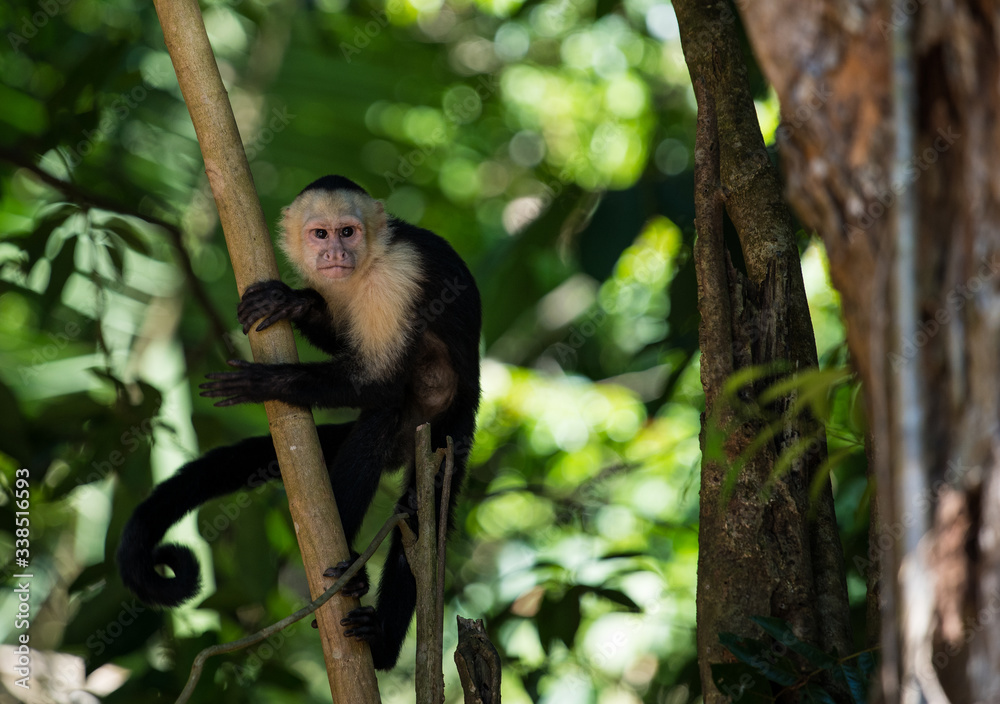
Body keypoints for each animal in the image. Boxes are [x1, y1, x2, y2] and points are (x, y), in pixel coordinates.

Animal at [116, 175, 481, 670]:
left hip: (450, 430)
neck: (364, 267)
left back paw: (374, 628)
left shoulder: (398, 277)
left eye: (348, 231)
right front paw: (294, 302)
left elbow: (380, 381)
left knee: (414, 492)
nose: (335, 254)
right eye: (320, 234)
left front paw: (263, 383)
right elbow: (345, 343)